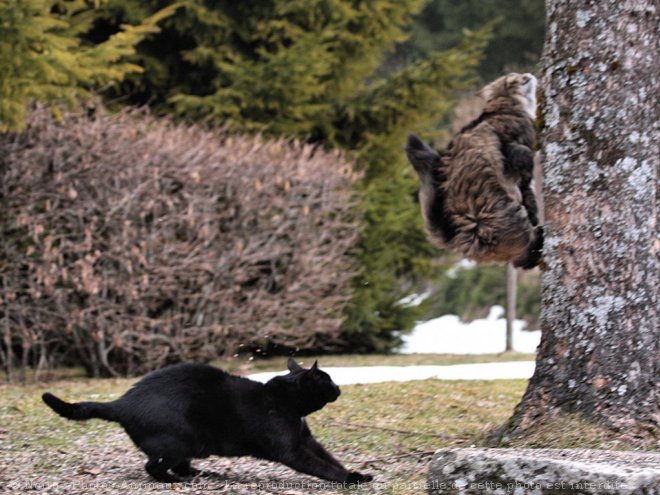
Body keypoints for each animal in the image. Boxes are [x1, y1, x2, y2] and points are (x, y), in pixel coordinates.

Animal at [41, 360, 372, 484]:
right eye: (327, 381)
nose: (339, 387)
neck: (286, 404)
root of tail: (122, 402)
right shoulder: (293, 450)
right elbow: (322, 467)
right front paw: (348, 480)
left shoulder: (307, 441)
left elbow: (330, 459)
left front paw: (356, 474)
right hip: (179, 441)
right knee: (153, 466)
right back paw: (176, 480)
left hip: (191, 446)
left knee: (177, 464)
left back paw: (200, 473)